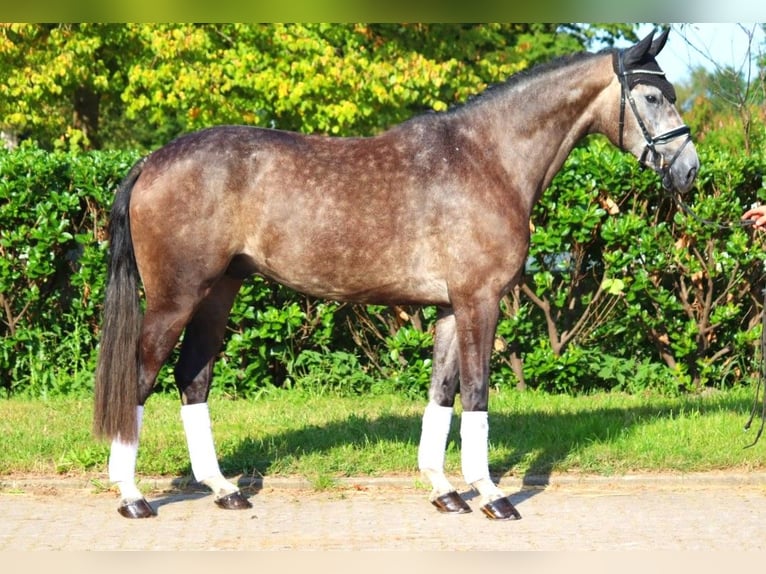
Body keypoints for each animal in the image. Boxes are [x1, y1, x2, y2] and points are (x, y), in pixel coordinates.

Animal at [93, 28, 700, 520]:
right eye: (651, 96)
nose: (690, 169)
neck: (488, 159)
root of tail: (151, 161)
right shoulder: (480, 301)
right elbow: (476, 394)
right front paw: (492, 495)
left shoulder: (453, 308)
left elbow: (442, 394)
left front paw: (445, 491)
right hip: (176, 297)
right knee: (140, 376)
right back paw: (132, 496)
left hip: (219, 291)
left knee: (192, 377)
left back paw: (224, 489)